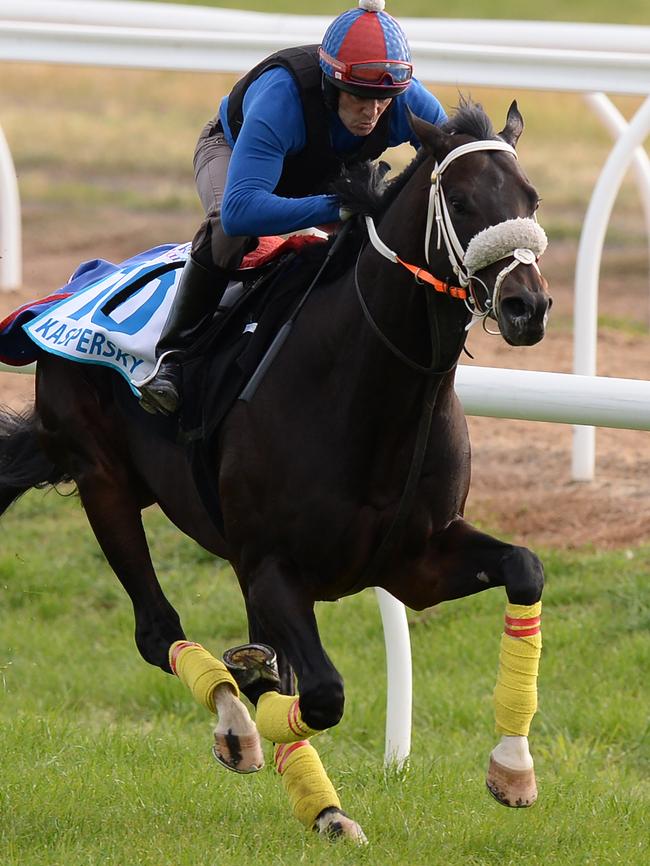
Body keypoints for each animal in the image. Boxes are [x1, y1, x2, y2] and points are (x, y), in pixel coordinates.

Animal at [0, 99, 548, 836]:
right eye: (459, 202)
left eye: (531, 198)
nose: (527, 306)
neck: (367, 392)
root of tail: (73, 286)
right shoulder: (271, 566)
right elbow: (319, 694)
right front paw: (254, 706)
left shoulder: (416, 563)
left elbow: (524, 567)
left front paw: (513, 768)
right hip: (103, 481)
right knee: (156, 630)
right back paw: (240, 726)